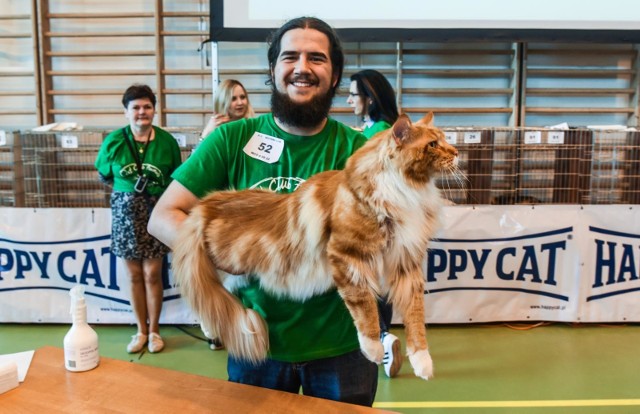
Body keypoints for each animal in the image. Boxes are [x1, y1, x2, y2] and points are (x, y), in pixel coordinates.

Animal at [172, 112, 458, 378]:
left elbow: (415, 315)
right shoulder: (347, 254)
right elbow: (364, 305)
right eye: (433, 144)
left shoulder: (406, 260)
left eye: (445, 139)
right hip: (228, 259)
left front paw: (422, 361)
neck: (405, 190)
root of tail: (209, 204)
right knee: (204, 287)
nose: (455, 153)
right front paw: (373, 349)